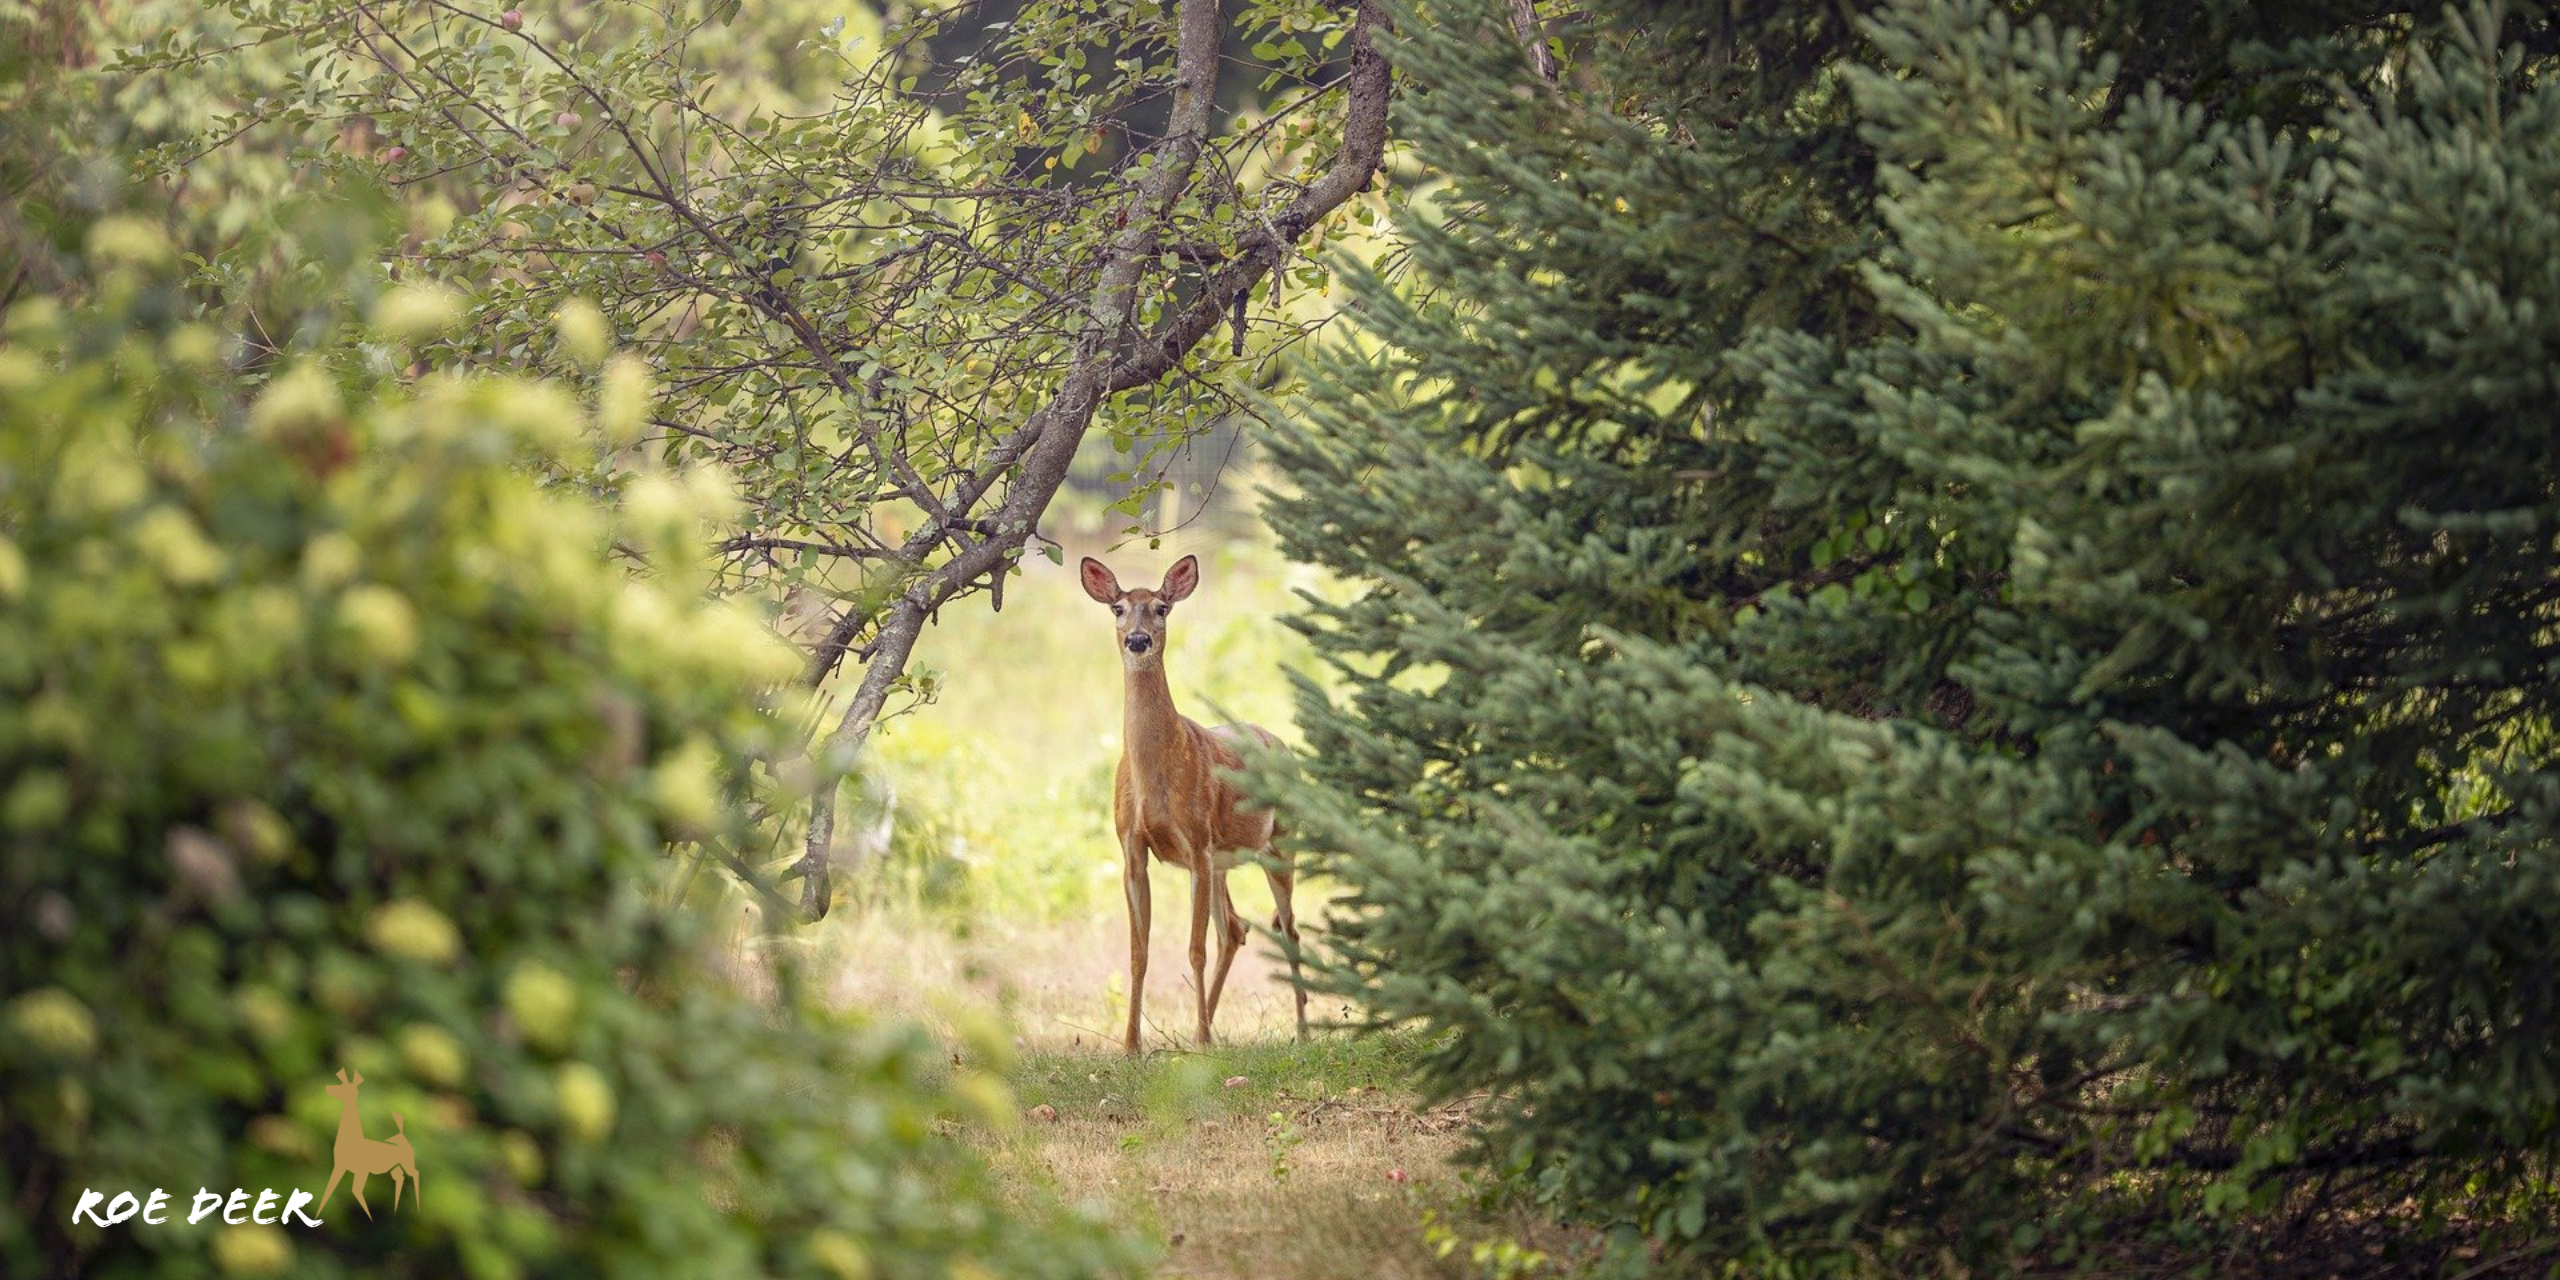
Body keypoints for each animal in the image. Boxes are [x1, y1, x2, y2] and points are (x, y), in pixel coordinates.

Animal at [318, 1068, 419, 1218]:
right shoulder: (340, 1166)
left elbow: (356, 1190)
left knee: (415, 1174)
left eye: (344, 1088)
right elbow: (329, 1190)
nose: (327, 1087)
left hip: (407, 1165)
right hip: (395, 1168)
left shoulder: (362, 1170)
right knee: (400, 1178)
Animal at [1082, 554, 1308, 1053]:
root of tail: (1282, 745)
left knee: (1288, 929)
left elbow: (1194, 948)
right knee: (1236, 928)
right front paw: (1131, 1045)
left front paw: (1199, 1040)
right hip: (1225, 860)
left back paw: (1299, 1031)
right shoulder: (1132, 848)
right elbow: (1139, 952)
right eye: (1118, 608)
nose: (1138, 640)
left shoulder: (1196, 842)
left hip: (1281, 843)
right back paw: (1207, 1028)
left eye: (1162, 607)